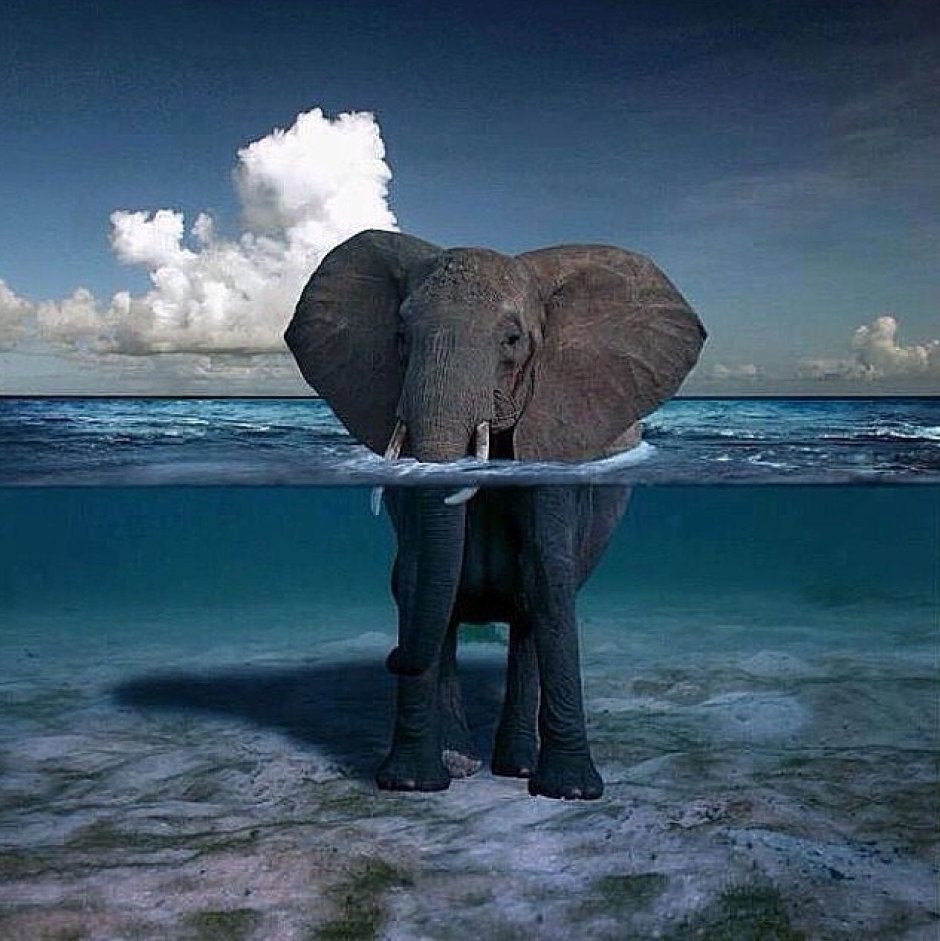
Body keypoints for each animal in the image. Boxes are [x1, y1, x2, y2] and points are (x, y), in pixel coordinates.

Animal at [284, 230, 705, 799]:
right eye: (401, 335)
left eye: (512, 340)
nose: (391, 657)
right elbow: (417, 576)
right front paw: (412, 784)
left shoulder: (556, 442)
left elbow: (548, 577)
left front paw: (570, 792)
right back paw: (459, 760)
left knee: (529, 614)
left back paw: (518, 768)